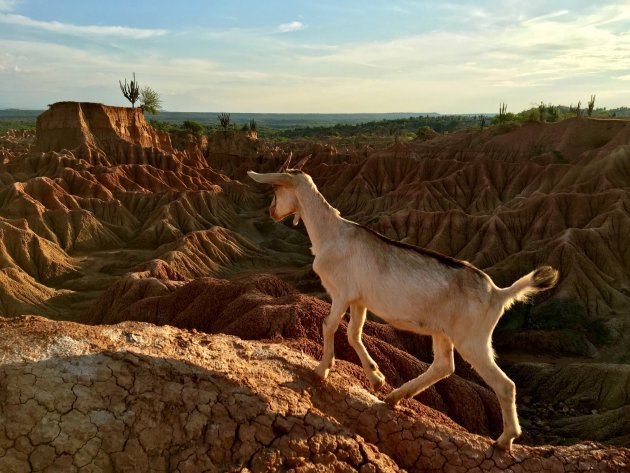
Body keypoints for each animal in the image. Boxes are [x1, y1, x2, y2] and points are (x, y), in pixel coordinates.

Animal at [249, 167, 560, 450]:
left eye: (276, 189)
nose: (271, 212)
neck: (331, 233)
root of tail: (497, 294)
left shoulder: (340, 293)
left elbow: (329, 326)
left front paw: (321, 370)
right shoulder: (359, 300)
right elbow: (354, 333)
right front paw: (376, 378)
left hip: (473, 339)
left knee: (504, 385)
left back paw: (504, 440)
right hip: (443, 332)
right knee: (443, 365)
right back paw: (393, 397)